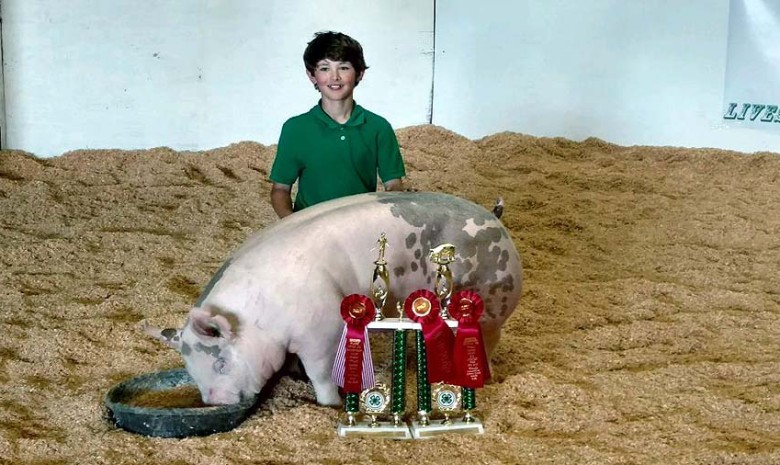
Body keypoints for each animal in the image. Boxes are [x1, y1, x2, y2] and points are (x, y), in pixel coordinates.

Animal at [146, 190, 524, 404]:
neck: (260, 316)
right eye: (191, 370)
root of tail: (494, 217)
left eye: (221, 362)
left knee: (488, 341)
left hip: (490, 305)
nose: (216, 403)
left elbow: (322, 373)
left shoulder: (321, 329)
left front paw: (334, 403)